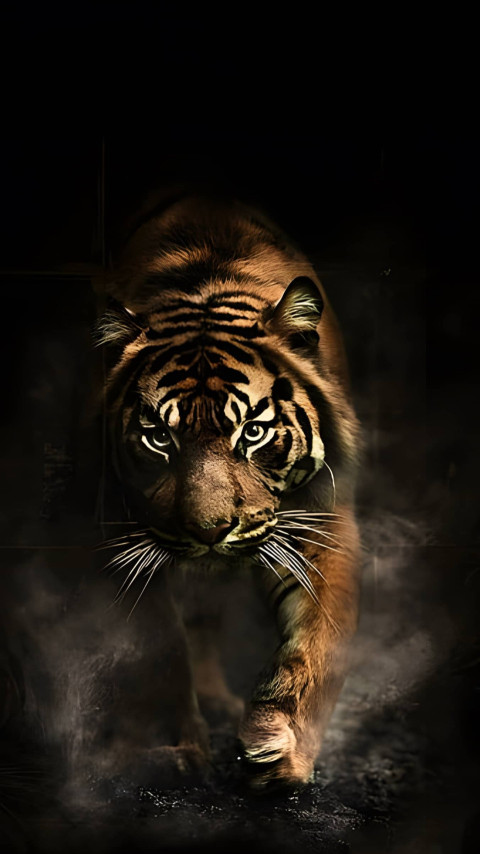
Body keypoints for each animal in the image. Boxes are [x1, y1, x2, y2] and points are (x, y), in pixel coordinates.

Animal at [95, 190, 361, 789]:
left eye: (253, 432)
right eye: (159, 436)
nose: (210, 530)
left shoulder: (322, 520)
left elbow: (318, 640)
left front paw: (279, 748)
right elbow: (160, 646)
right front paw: (173, 751)